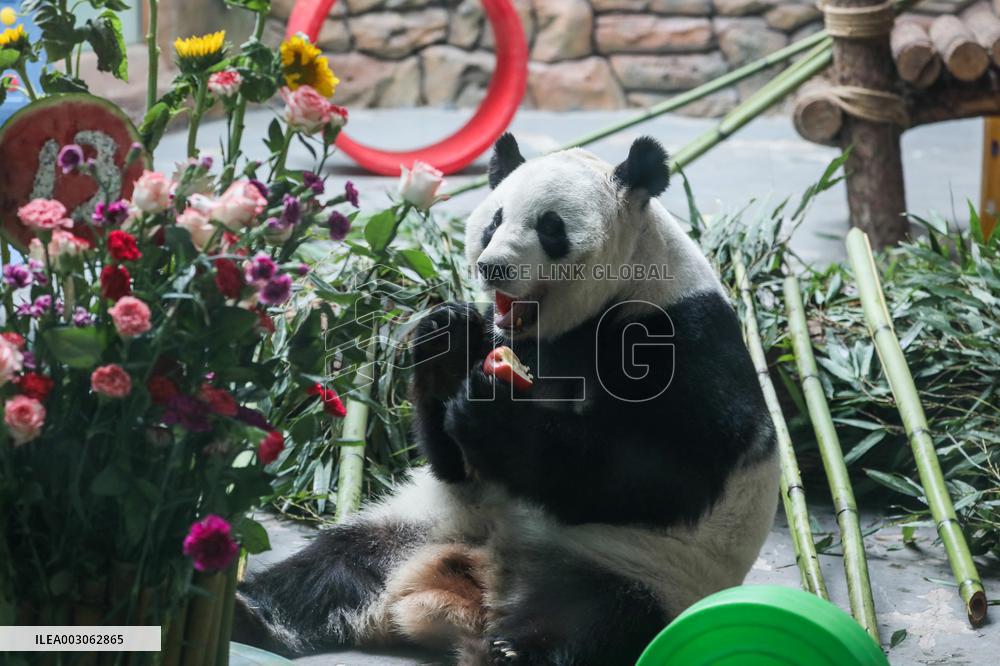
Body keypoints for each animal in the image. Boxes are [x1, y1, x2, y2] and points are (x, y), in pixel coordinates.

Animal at [233, 135, 779, 665]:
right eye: (494, 221)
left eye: (551, 227)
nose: (492, 266)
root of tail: (473, 587)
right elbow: (455, 463)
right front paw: (448, 343)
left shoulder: (678, 334)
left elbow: (667, 471)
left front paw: (494, 415)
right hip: (416, 524)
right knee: (334, 566)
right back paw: (253, 612)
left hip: (642, 569)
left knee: (595, 621)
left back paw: (515, 649)